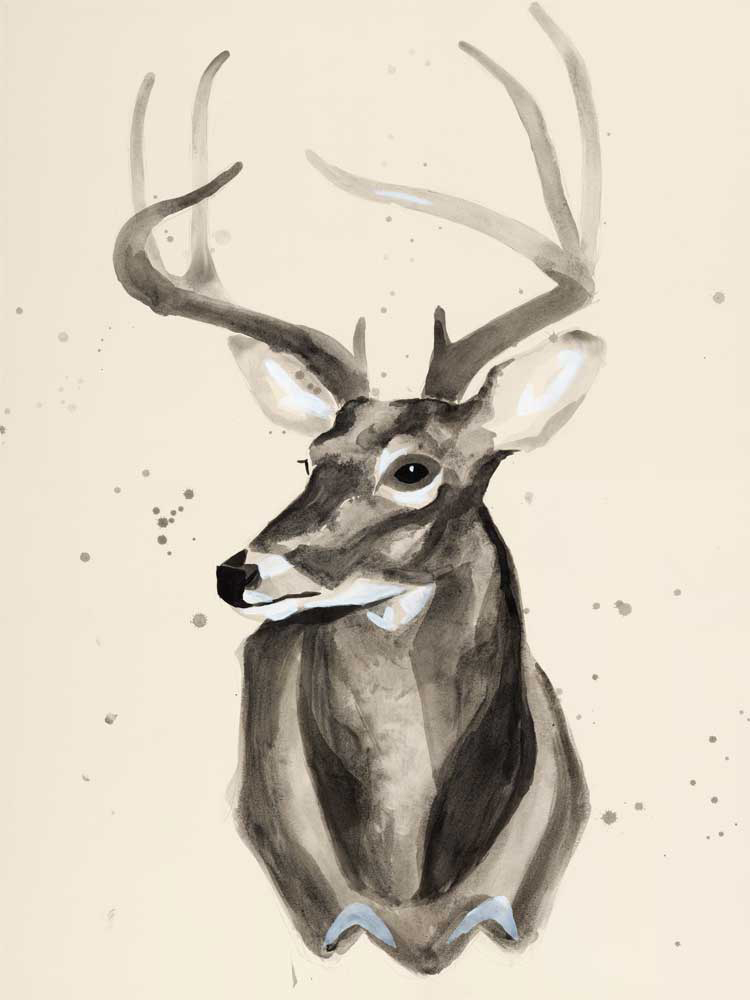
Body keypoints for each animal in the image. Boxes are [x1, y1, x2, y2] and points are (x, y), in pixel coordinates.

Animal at [113, 2, 603, 976]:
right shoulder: (324, 913)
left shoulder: (518, 907)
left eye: (413, 469)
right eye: (310, 456)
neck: (412, 887)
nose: (237, 572)